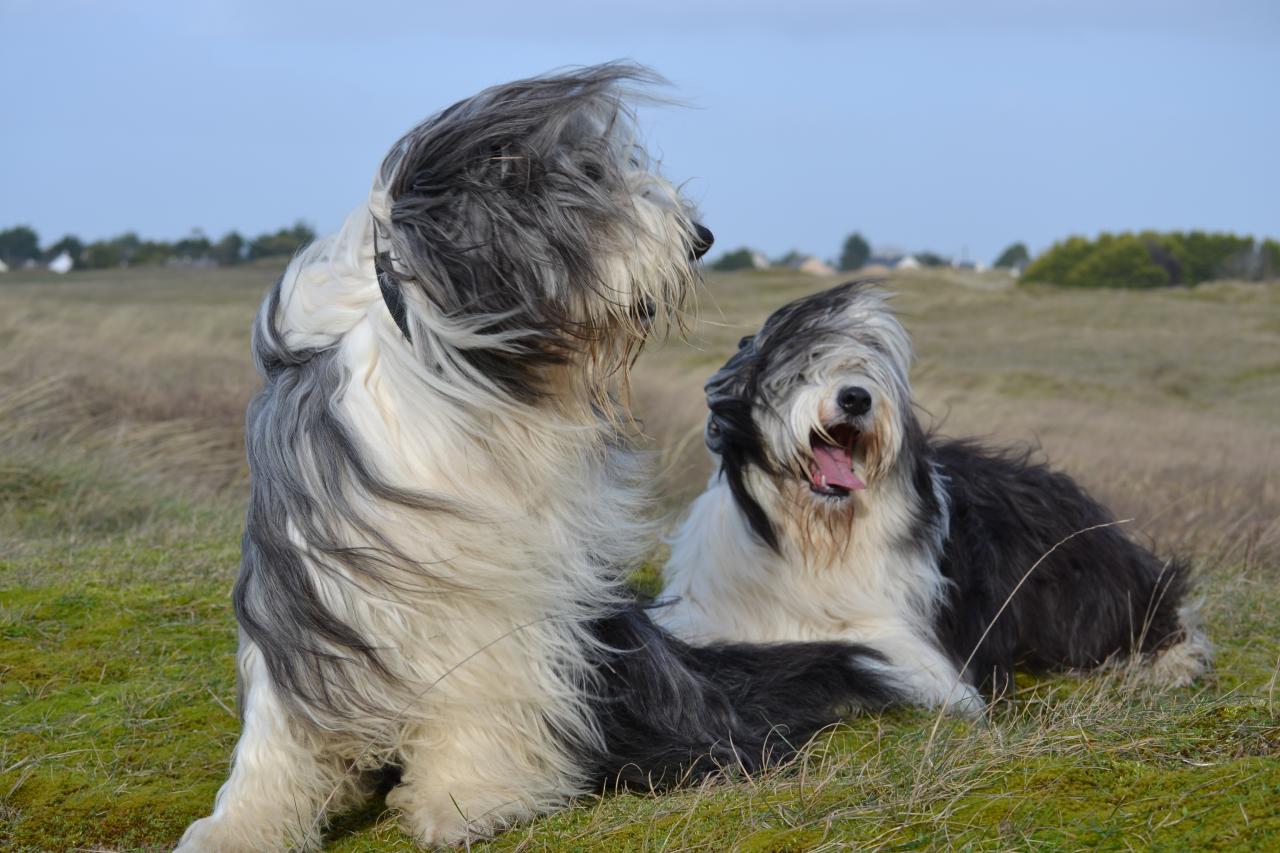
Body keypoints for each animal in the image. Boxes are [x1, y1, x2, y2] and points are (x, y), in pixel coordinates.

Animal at [180, 68, 901, 850]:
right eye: (588, 177)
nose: (701, 239)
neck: (449, 368)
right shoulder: (316, 571)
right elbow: (281, 722)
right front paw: (243, 823)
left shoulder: (509, 580)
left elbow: (487, 682)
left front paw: (467, 799)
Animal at [660, 280, 1208, 712]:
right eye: (799, 369)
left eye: (869, 370)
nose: (856, 397)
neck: (814, 534)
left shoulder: (907, 639)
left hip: (1082, 589)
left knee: (1154, 615)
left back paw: (1176, 662)